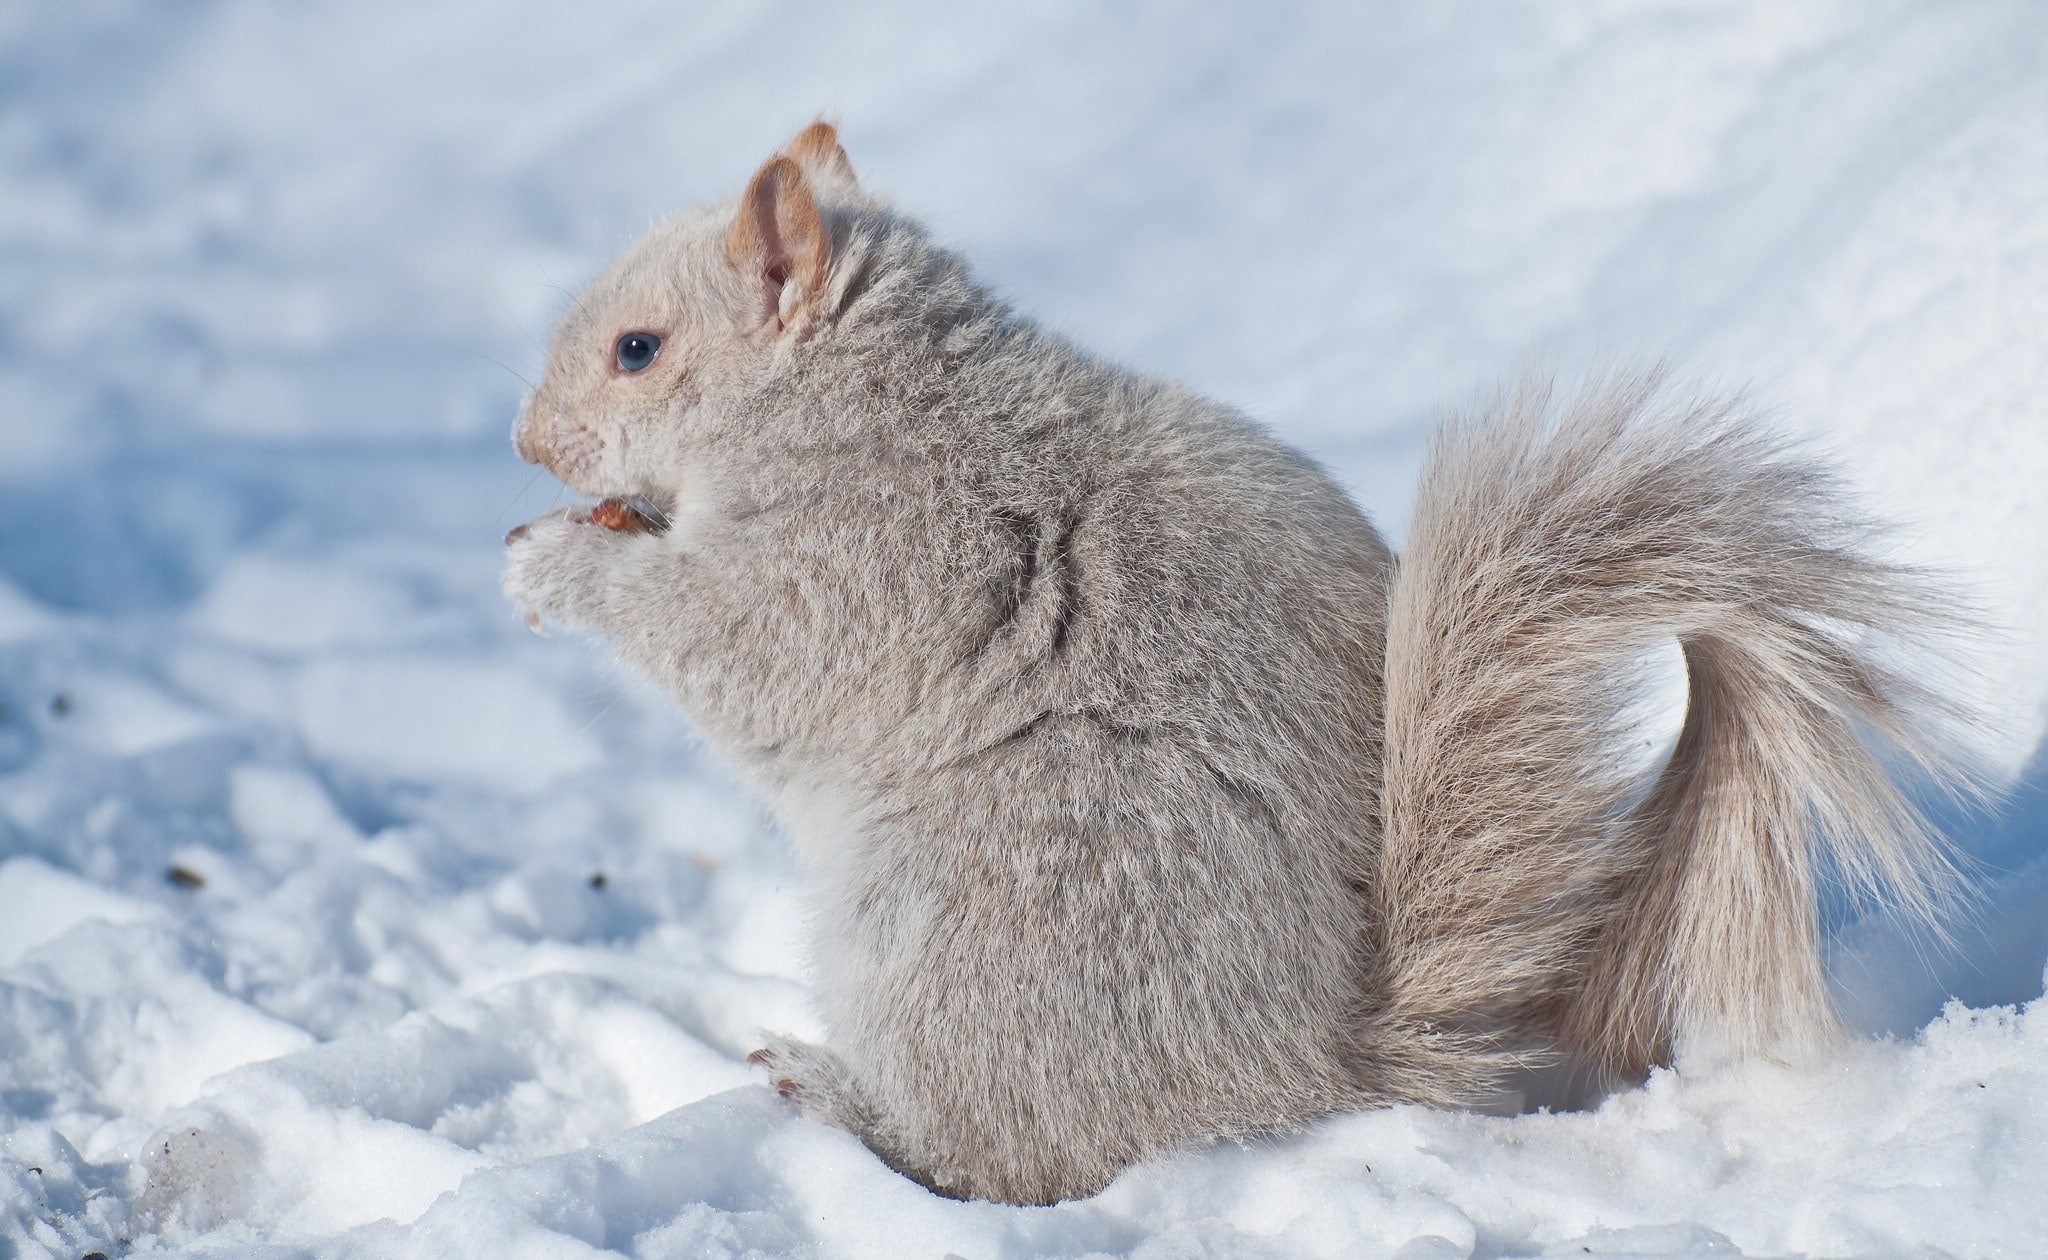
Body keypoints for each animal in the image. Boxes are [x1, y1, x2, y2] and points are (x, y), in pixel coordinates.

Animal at [502, 122, 1980, 1206]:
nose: (523, 445)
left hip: (992, 916)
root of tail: (1316, 1062)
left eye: (639, 349)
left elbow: (740, 645)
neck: (857, 401)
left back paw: (841, 1097)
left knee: (1004, 1155)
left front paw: (551, 567)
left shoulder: (876, 558)